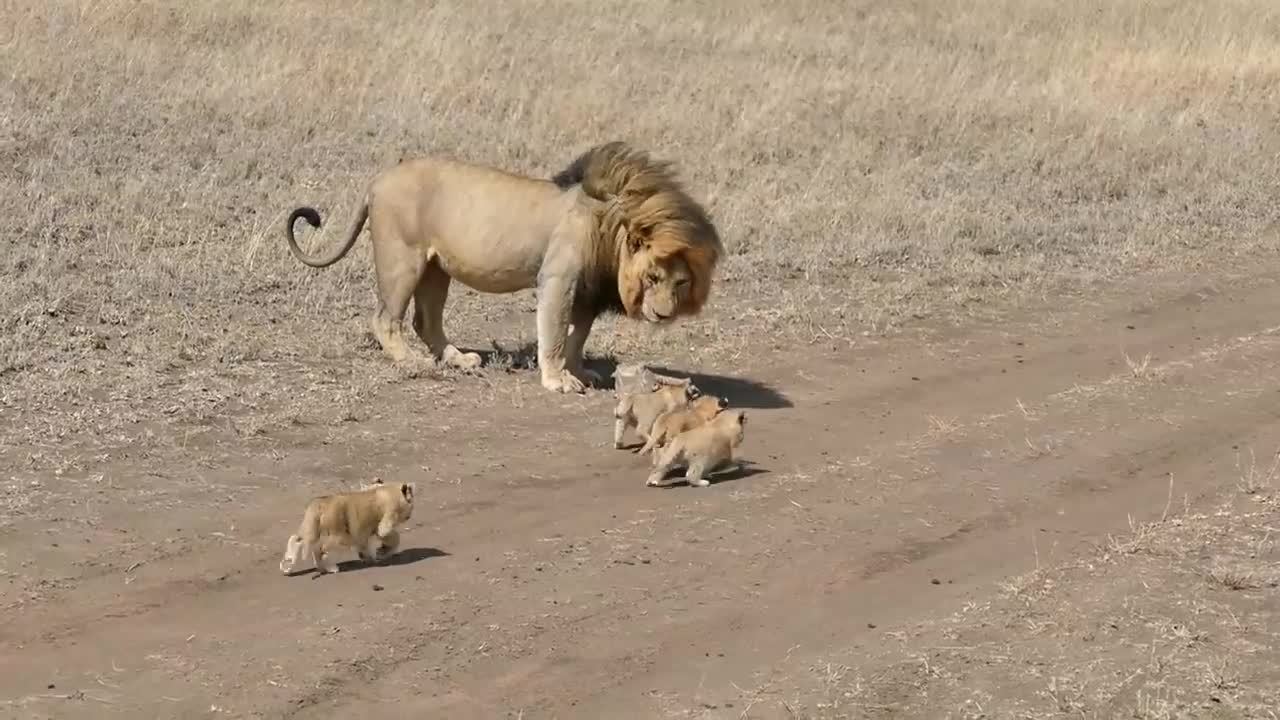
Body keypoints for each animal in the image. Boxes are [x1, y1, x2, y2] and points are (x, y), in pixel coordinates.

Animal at [284, 140, 721, 392]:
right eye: (652, 276)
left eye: (681, 283)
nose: (663, 314)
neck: (611, 225)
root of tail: (377, 180)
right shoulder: (558, 278)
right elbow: (555, 334)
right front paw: (557, 380)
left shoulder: (587, 292)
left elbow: (576, 337)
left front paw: (579, 372)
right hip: (402, 258)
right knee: (385, 319)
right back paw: (413, 361)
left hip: (436, 268)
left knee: (426, 321)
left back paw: (458, 359)